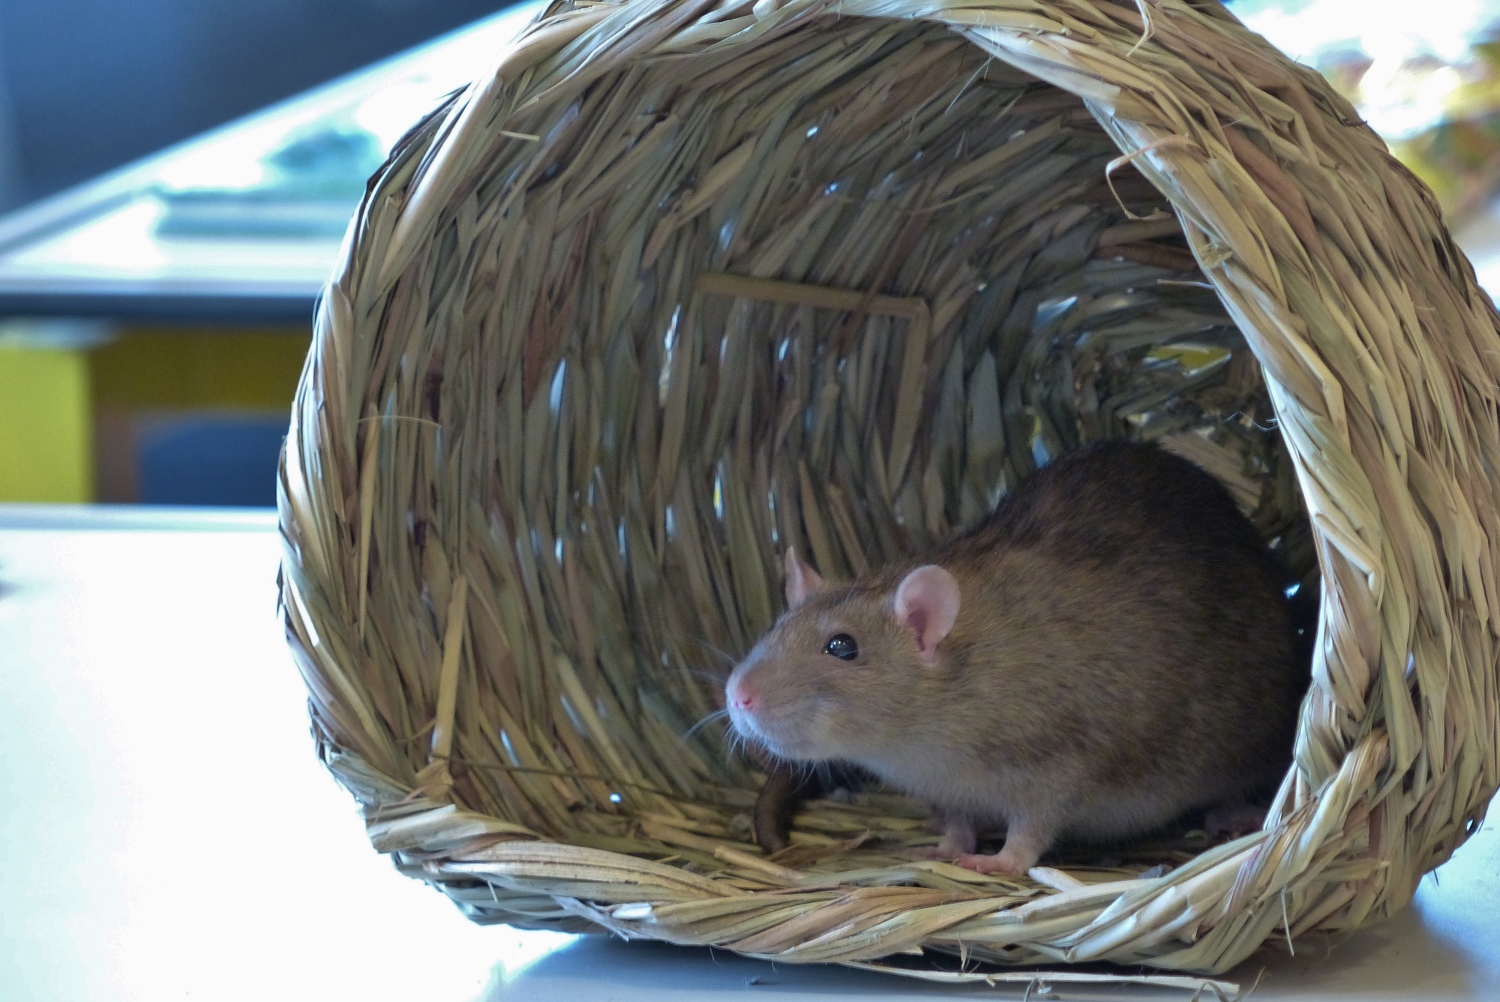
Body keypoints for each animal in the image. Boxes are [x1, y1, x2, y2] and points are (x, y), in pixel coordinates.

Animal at [726, 440, 1306, 876]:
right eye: (775, 628)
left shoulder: (1058, 750)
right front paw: (948, 846)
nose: (737, 696)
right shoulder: (943, 788)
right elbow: (958, 821)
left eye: (842, 647)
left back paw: (1234, 812)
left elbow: (1039, 818)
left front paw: (1003, 860)